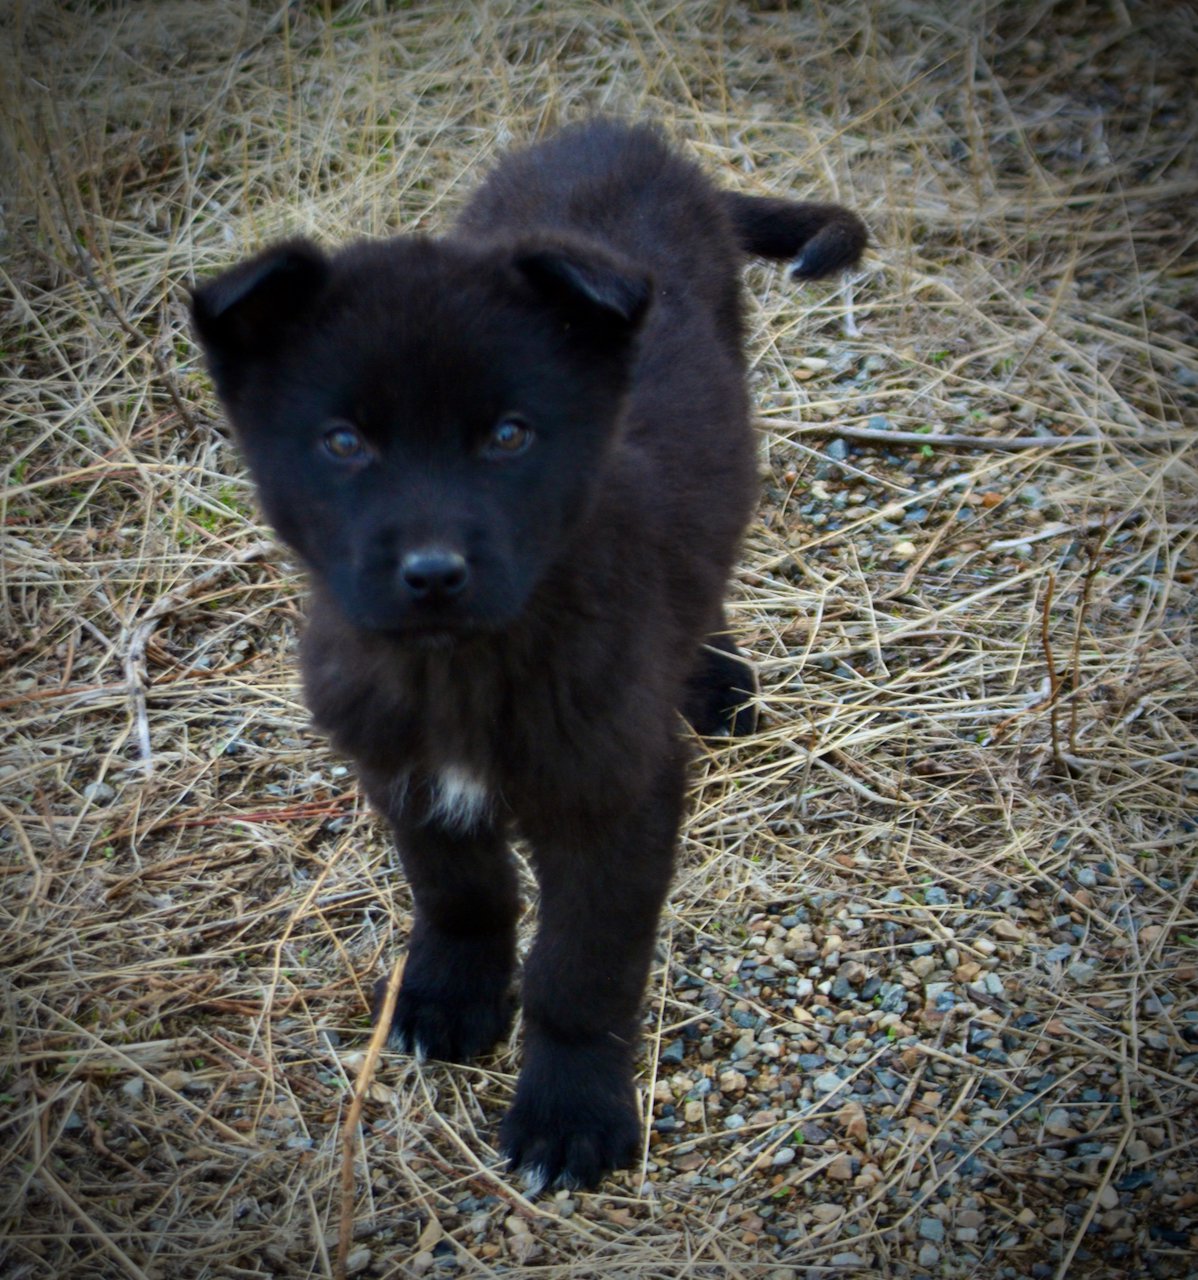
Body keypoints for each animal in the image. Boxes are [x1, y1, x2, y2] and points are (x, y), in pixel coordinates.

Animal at [191, 120, 865, 1187]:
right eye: (342, 441)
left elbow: (581, 971)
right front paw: (451, 995)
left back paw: (714, 674)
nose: (432, 573)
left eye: (510, 435)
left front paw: (570, 1111)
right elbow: (459, 890)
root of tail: (628, 134)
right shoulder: (404, 770)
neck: (463, 667)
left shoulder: (617, 803)